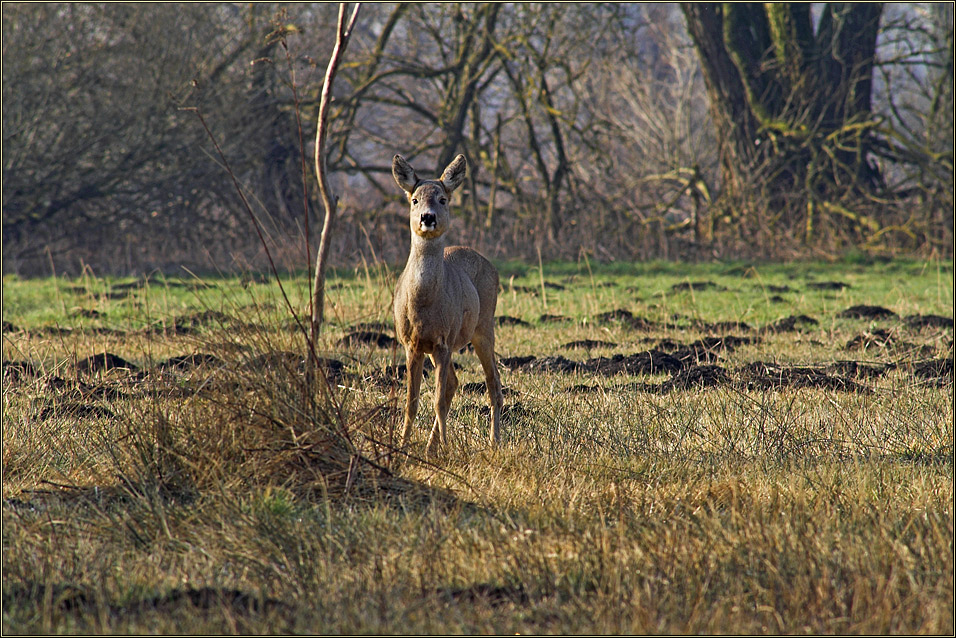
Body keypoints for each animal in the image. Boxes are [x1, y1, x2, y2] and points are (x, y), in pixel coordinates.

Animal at [392, 152, 504, 458]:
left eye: (442, 199)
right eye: (414, 199)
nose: (427, 217)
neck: (423, 305)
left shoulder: (443, 341)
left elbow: (438, 402)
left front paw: (447, 449)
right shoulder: (412, 344)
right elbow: (411, 403)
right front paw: (402, 448)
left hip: (483, 326)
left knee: (493, 384)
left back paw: (494, 442)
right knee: (454, 383)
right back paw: (432, 447)